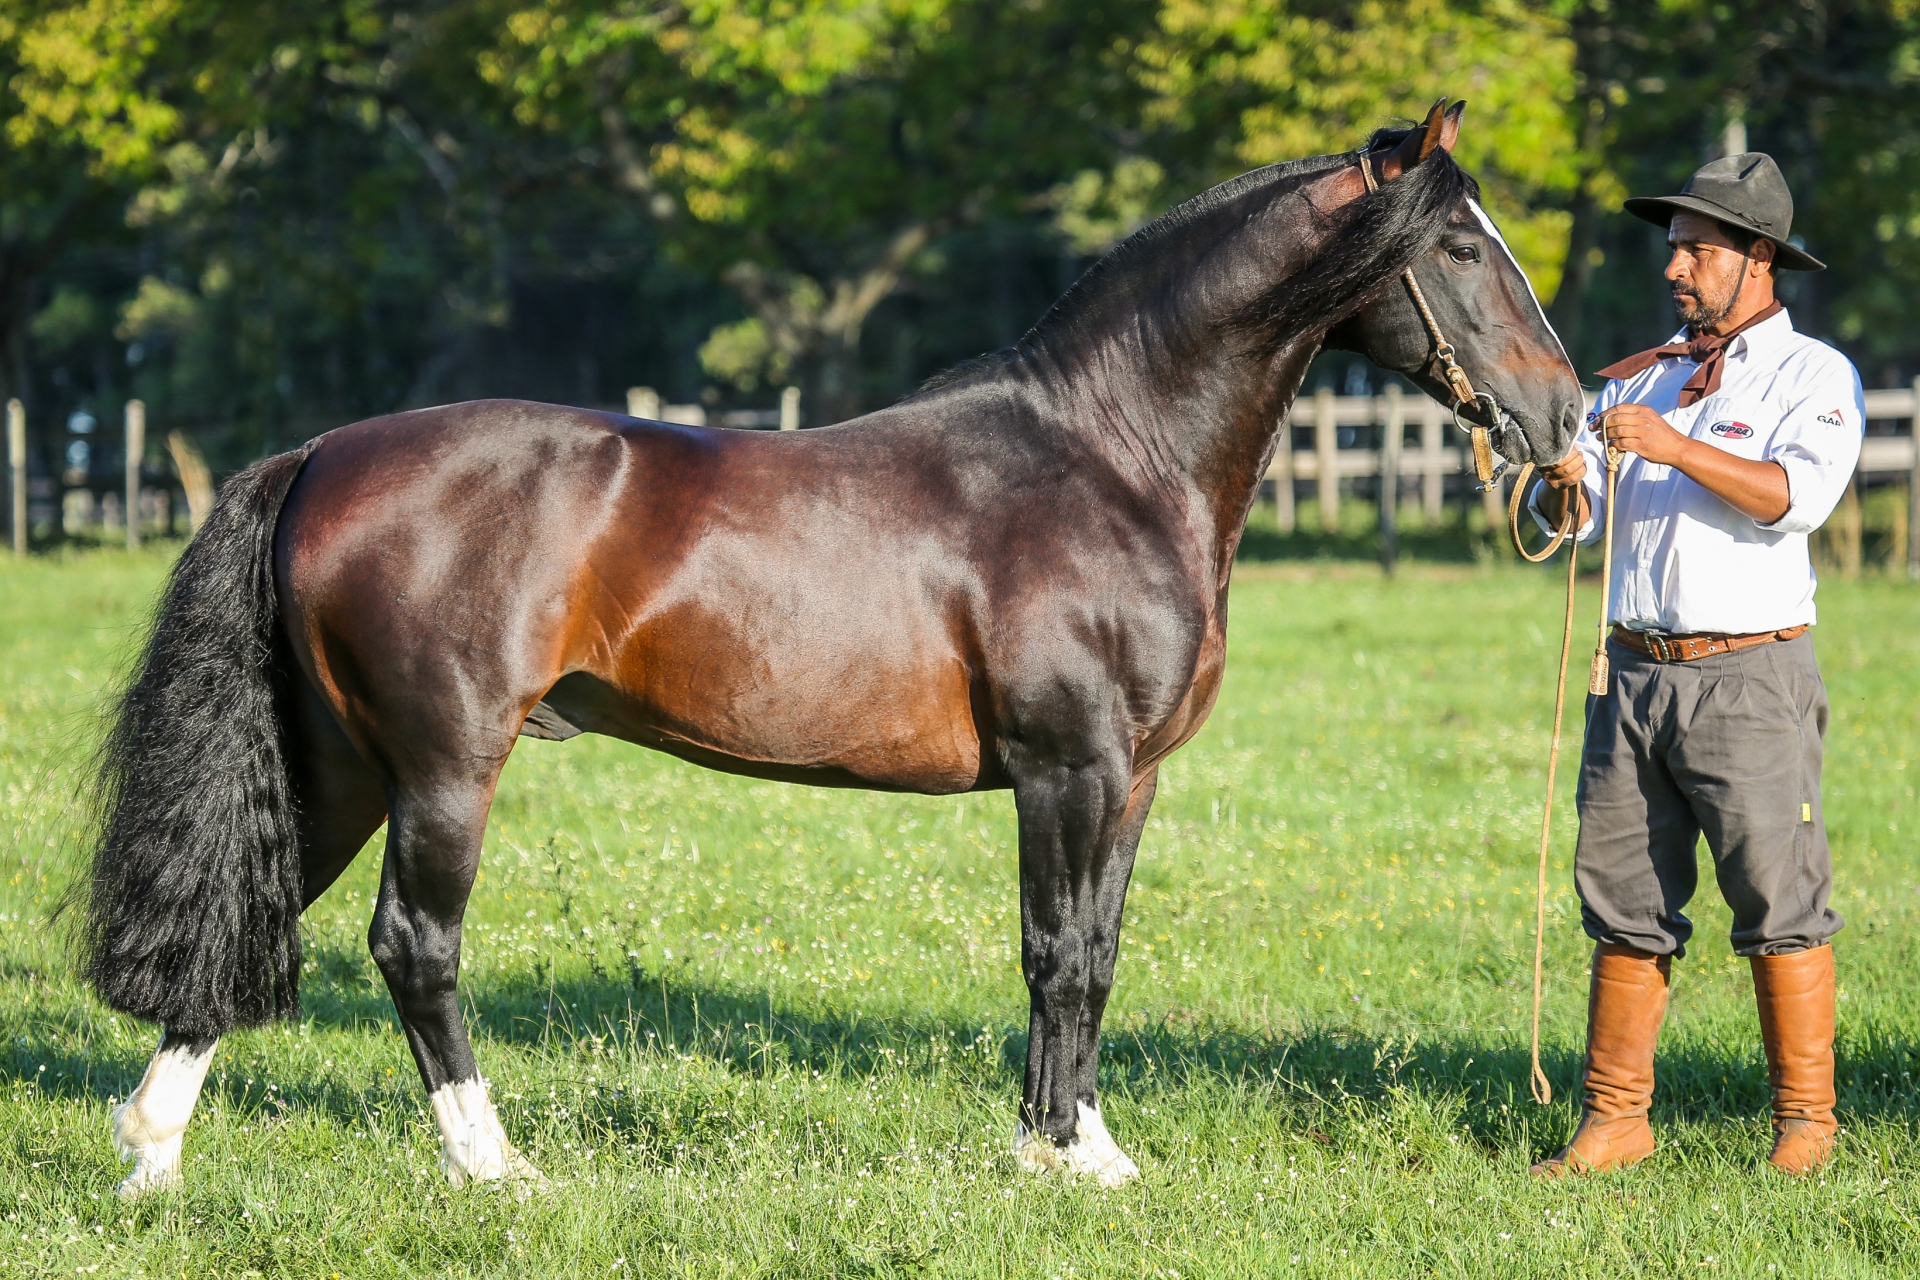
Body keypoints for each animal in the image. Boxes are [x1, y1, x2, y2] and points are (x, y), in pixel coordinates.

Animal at [80, 99, 1581, 1196]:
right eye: (1460, 248)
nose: (1565, 418)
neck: (1106, 455)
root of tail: (322, 452)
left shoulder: (1132, 778)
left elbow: (1096, 951)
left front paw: (1085, 1144)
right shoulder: (1069, 769)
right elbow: (1059, 954)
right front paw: (1056, 1159)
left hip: (341, 764)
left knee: (255, 917)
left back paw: (154, 1155)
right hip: (446, 768)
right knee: (413, 944)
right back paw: (491, 1163)